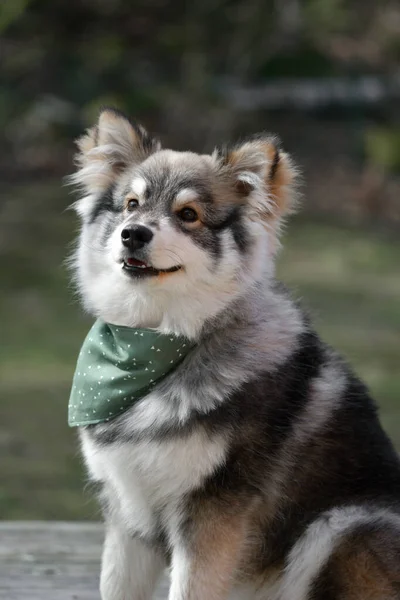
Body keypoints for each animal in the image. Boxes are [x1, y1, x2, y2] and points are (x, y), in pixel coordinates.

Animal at [69, 109, 400, 600]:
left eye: (188, 215)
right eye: (130, 204)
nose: (133, 234)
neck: (153, 342)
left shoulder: (210, 516)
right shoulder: (127, 513)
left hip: (340, 524)